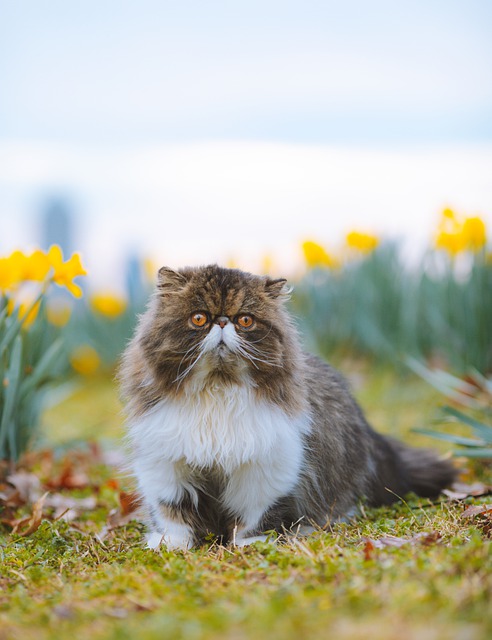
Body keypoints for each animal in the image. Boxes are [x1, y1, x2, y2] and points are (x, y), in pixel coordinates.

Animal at [120, 264, 458, 552]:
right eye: (199, 318)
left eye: (245, 320)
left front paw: (250, 544)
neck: (218, 390)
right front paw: (170, 545)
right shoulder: (166, 467)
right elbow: (172, 515)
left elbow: (254, 517)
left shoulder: (265, 469)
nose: (223, 321)